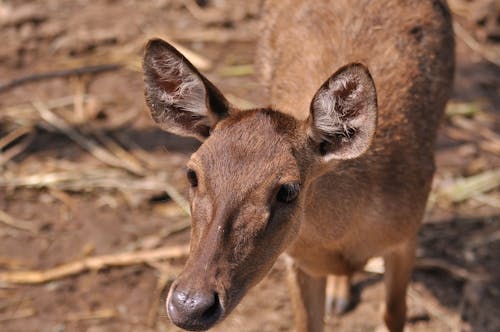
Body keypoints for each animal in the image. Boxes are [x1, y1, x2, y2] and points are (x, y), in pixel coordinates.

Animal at [141, 0, 454, 332]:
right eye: (192, 173)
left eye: (288, 189)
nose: (190, 305)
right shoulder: (296, 260)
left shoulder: (407, 236)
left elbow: (394, 313)